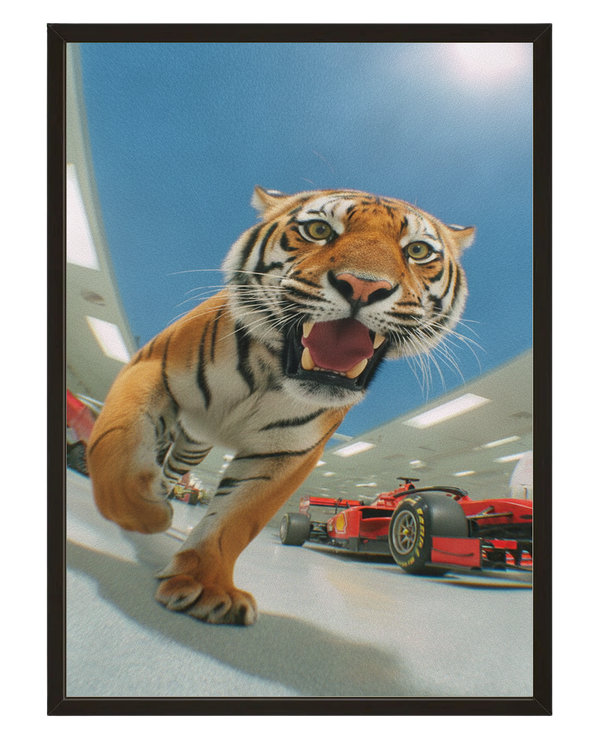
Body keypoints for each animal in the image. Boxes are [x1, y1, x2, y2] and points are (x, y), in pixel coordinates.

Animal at [86, 186, 475, 625]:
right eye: (319, 230)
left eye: (418, 251)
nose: (362, 287)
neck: (270, 372)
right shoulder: (149, 368)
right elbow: (115, 448)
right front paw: (149, 514)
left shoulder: (288, 451)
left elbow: (237, 518)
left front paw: (205, 585)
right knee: (154, 461)